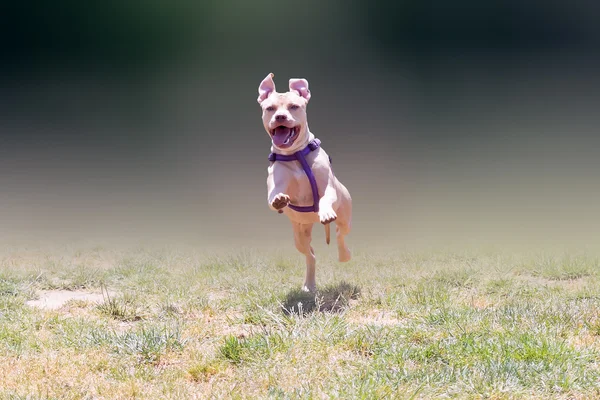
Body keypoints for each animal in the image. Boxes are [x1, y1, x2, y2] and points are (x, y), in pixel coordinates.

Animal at [256, 72, 352, 290]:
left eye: (294, 106)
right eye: (270, 108)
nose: (280, 117)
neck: (295, 155)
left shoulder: (328, 188)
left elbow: (325, 198)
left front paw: (325, 211)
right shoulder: (275, 185)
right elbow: (272, 197)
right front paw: (279, 200)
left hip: (345, 216)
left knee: (340, 234)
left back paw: (344, 255)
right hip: (299, 235)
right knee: (311, 255)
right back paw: (309, 284)